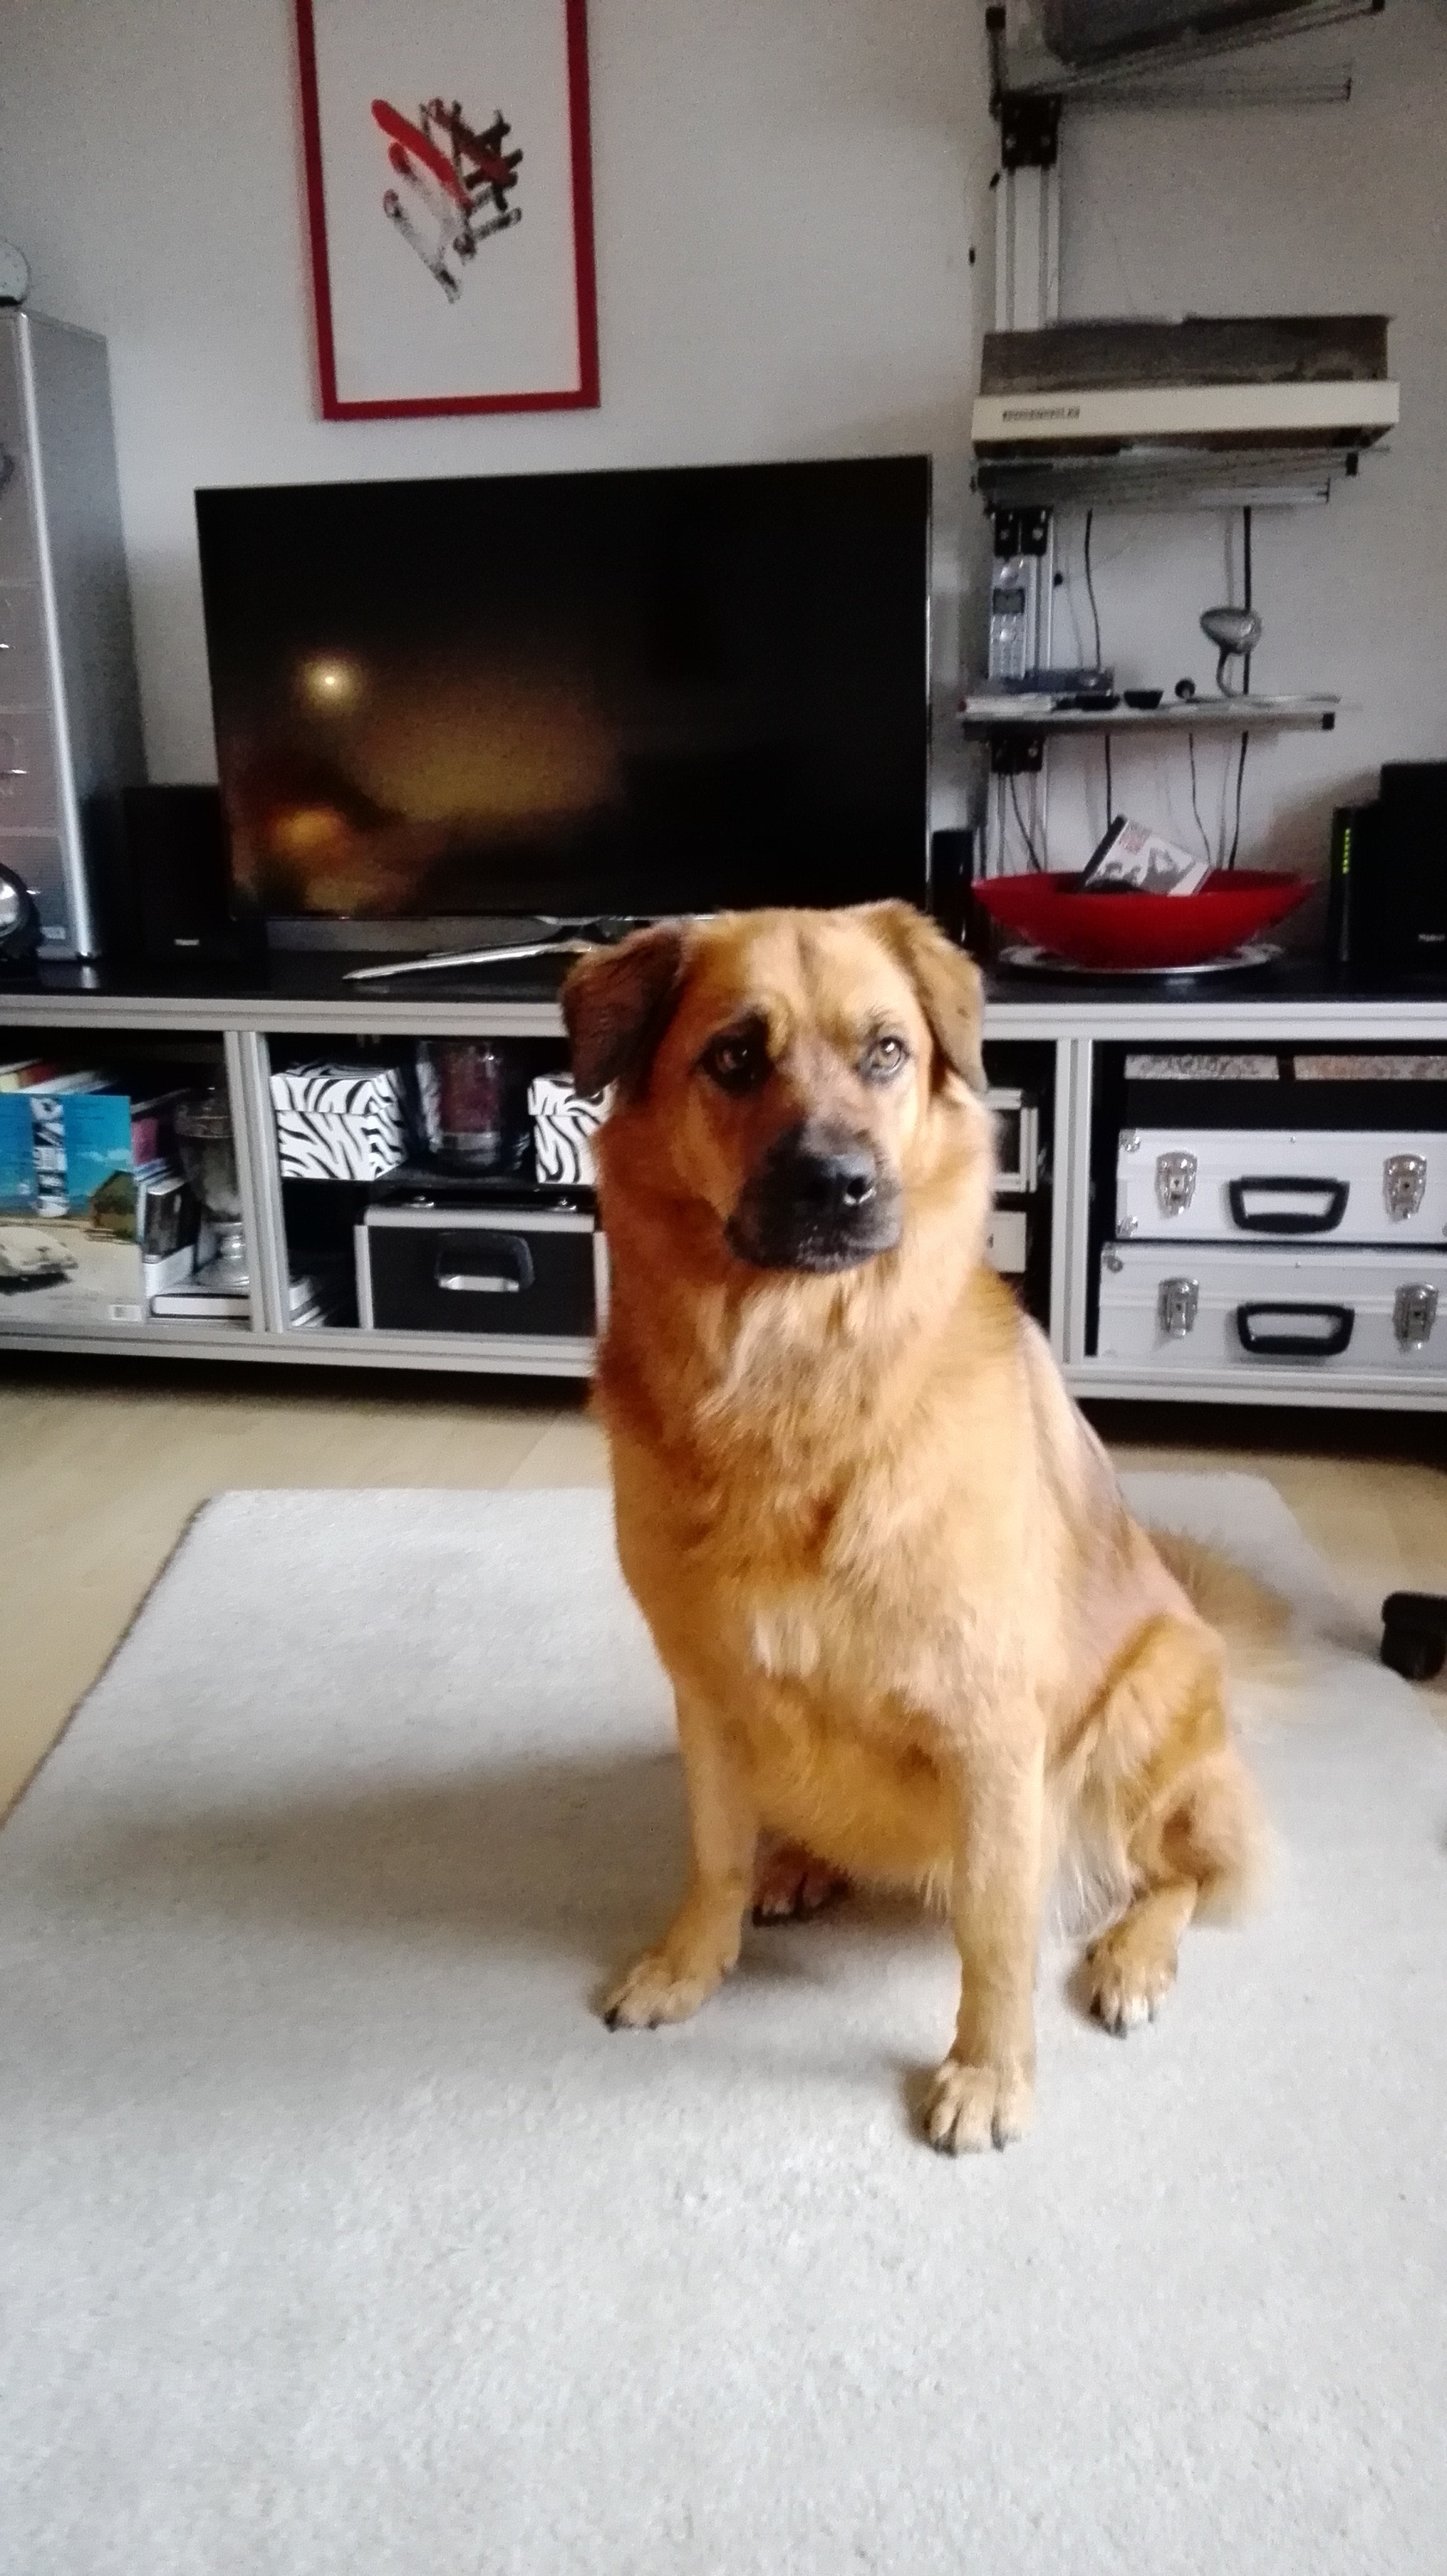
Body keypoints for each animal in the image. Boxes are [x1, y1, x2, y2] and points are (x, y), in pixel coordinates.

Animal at [562, 902, 1264, 2152]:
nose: (838, 1184)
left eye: (885, 1051)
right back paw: (796, 1862)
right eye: (732, 1057)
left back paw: (1131, 1956)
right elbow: (712, 1853)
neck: (796, 1376)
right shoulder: (707, 1696)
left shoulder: (990, 1733)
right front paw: (692, 1962)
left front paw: (987, 2071)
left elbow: (993, 1932)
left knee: (1175, 1872)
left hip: (1145, 1703)